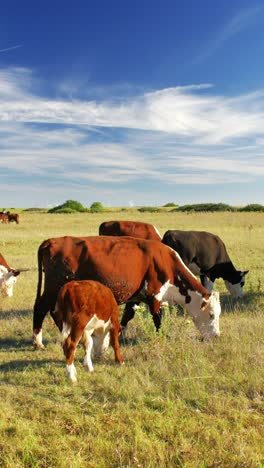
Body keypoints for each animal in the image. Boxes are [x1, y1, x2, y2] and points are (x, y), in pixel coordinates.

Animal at [33, 236, 222, 350]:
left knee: (54, 311)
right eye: (211, 315)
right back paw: (38, 342)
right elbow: (157, 319)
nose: (216, 336)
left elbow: (127, 316)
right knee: (41, 308)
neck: (166, 262)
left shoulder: (136, 296)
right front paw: (161, 337)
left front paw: (115, 336)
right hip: (53, 287)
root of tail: (51, 241)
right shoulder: (154, 296)